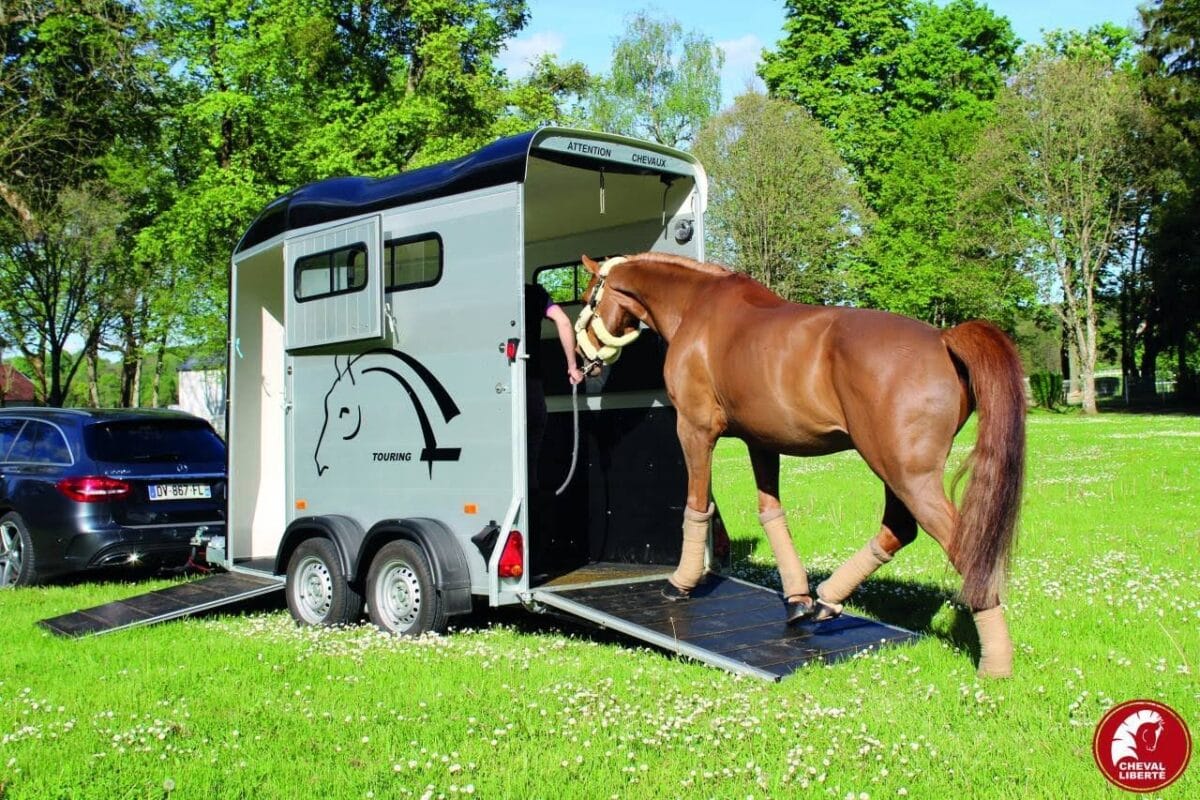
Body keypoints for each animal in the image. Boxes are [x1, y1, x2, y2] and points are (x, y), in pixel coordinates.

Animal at [574, 253, 1026, 678]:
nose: (580, 358)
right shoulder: (762, 443)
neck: (697, 307)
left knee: (964, 547)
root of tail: (943, 338)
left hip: (906, 475)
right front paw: (797, 599)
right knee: (899, 530)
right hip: (896, 473)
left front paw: (680, 584)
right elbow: (771, 514)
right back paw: (825, 602)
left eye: (588, 296)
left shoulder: (695, 430)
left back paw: (996, 664)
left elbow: (697, 506)